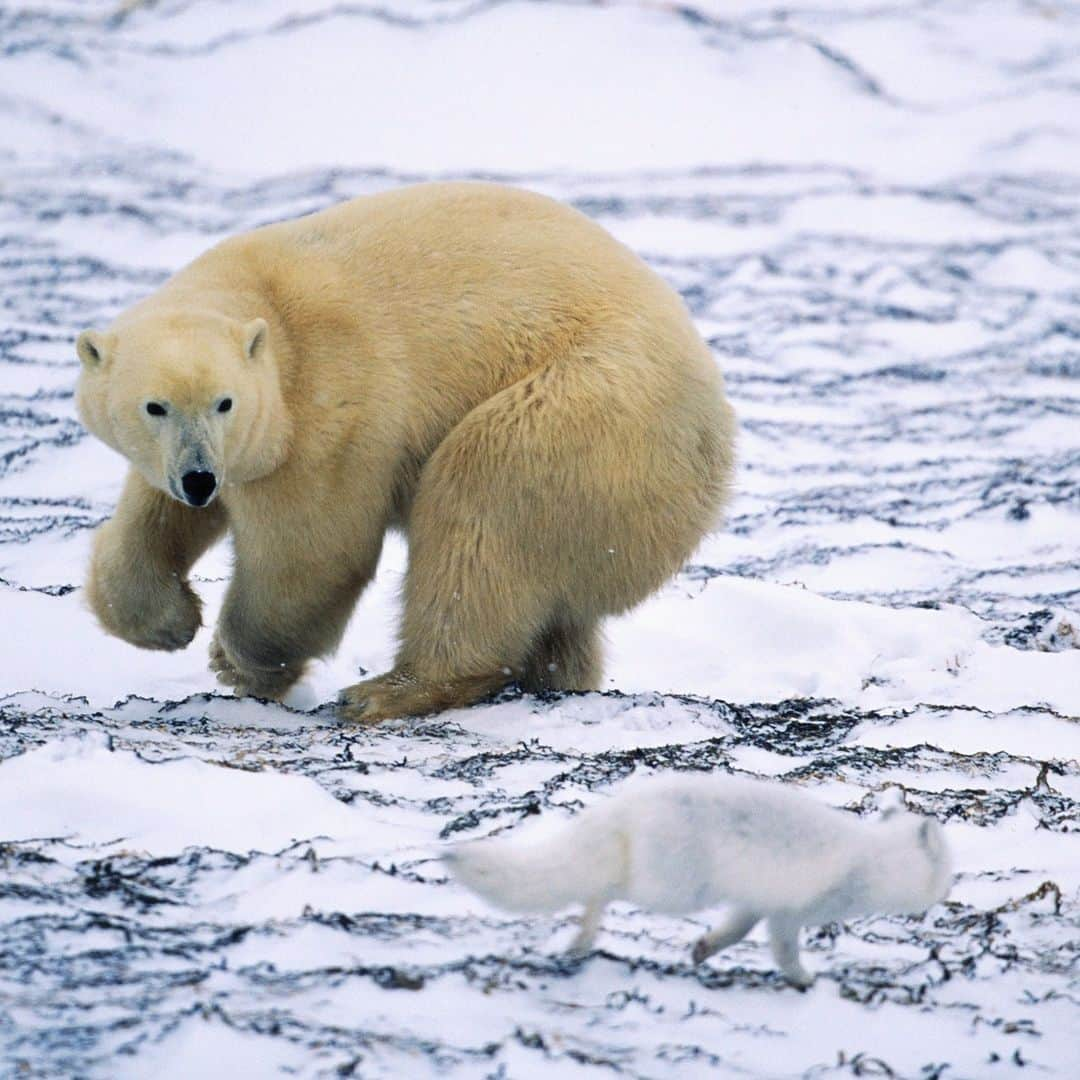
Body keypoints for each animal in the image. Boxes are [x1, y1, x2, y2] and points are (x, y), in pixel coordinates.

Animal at [73, 184, 734, 721]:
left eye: (224, 402)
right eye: (154, 406)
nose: (200, 478)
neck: (268, 304)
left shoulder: (328, 406)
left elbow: (315, 552)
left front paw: (236, 660)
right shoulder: (189, 455)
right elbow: (153, 517)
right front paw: (168, 621)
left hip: (592, 406)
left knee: (482, 505)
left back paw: (390, 690)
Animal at [442, 773, 950, 989]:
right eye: (948, 868)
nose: (947, 894)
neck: (873, 858)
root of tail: (626, 803)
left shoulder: (755, 902)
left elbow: (736, 931)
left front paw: (703, 950)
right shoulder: (789, 911)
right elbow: (784, 950)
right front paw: (804, 980)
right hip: (672, 888)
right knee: (600, 887)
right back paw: (584, 936)